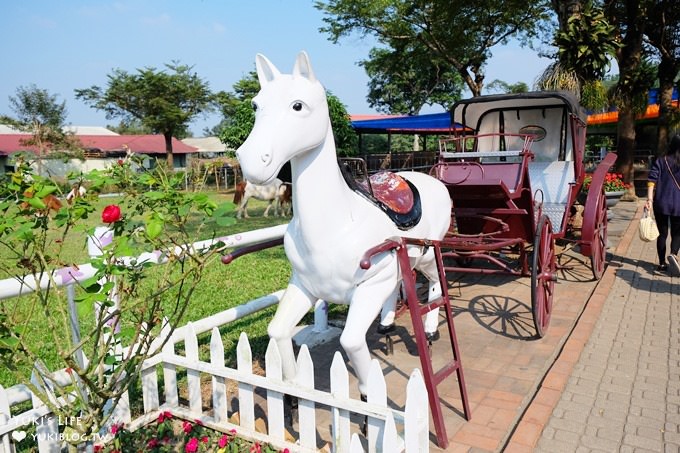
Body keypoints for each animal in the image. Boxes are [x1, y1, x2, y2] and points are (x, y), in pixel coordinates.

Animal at [234, 50, 452, 396]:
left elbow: (350, 342)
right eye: (256, 105)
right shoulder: (304, 286)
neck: (335, 225)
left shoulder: (370, 285)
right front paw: (294, 390)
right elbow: (277, 331)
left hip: (429, 254)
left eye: (298, 105)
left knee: (434, 286)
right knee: (401, 286)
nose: (252, 160)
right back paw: (387, 323)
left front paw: (367, 400)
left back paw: (430, 330)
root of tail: (433, 179)